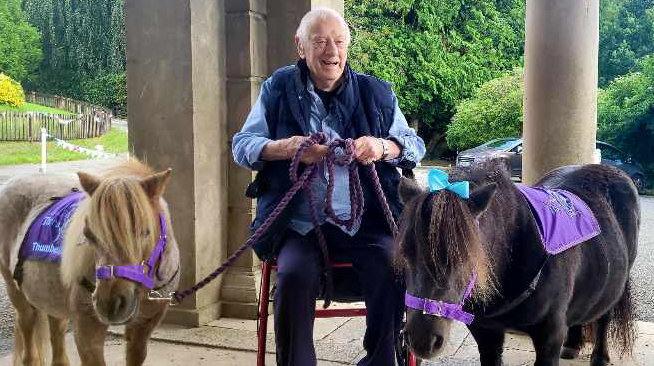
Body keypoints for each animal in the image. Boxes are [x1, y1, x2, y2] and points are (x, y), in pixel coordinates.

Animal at [0, 160, 181, 366]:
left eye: (146, 232)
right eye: (88, 235)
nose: (110, 304)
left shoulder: (142, 329)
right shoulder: (87, 331)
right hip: (17, 294)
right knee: (28, 335)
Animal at [400, 163, 640, 366]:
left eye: (468, 256)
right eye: (405, 253)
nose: (422, 341)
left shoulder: (549, 337)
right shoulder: (485, 332)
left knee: (604, 315)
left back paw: (600, 357)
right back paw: (572, 345)